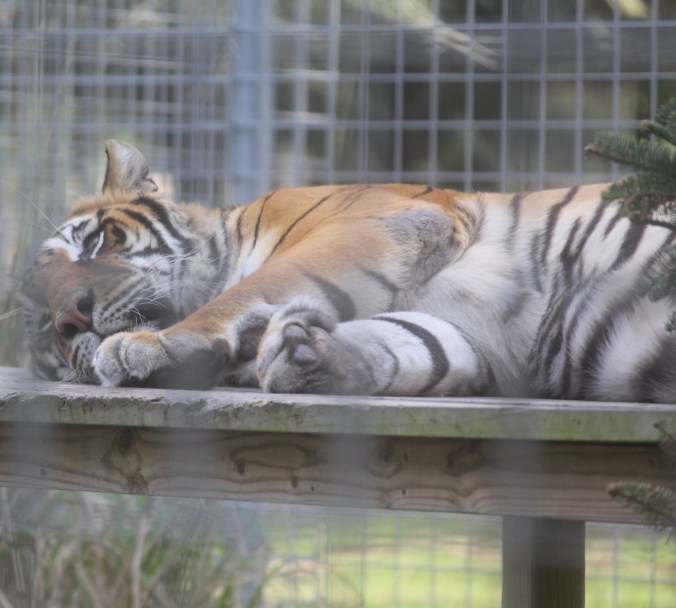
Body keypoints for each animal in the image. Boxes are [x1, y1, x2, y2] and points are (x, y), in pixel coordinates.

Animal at [20, 139, 676, 402]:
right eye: (42, 325)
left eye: (94, 242)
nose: (72, 316)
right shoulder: (480, 344)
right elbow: (419, 345)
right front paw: (309, 353)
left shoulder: (380, 221)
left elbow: (259, 284)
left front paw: (150, 346)